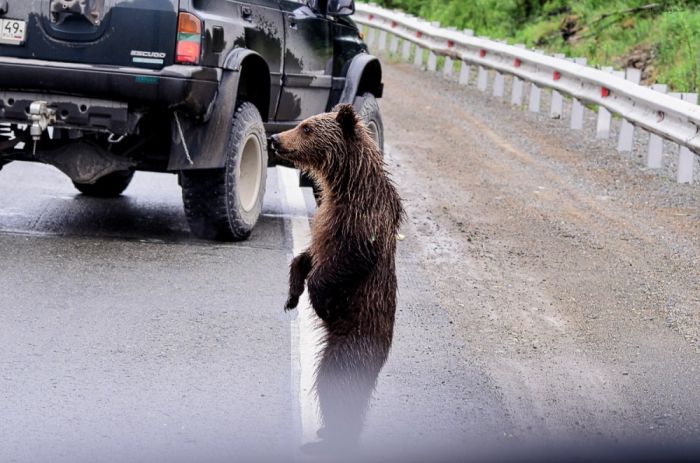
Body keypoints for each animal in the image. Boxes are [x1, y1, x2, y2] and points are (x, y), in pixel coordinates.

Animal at [272, 105, 408, 454]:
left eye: (306, 128)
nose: (275, 138)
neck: (347, 183)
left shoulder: (360, 225)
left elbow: (343, 264)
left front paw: (318, 300)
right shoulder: (327, 217)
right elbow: (307, 256)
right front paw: (291, 295)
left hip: (351, 347)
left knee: (337, 386)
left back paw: (329, 439)